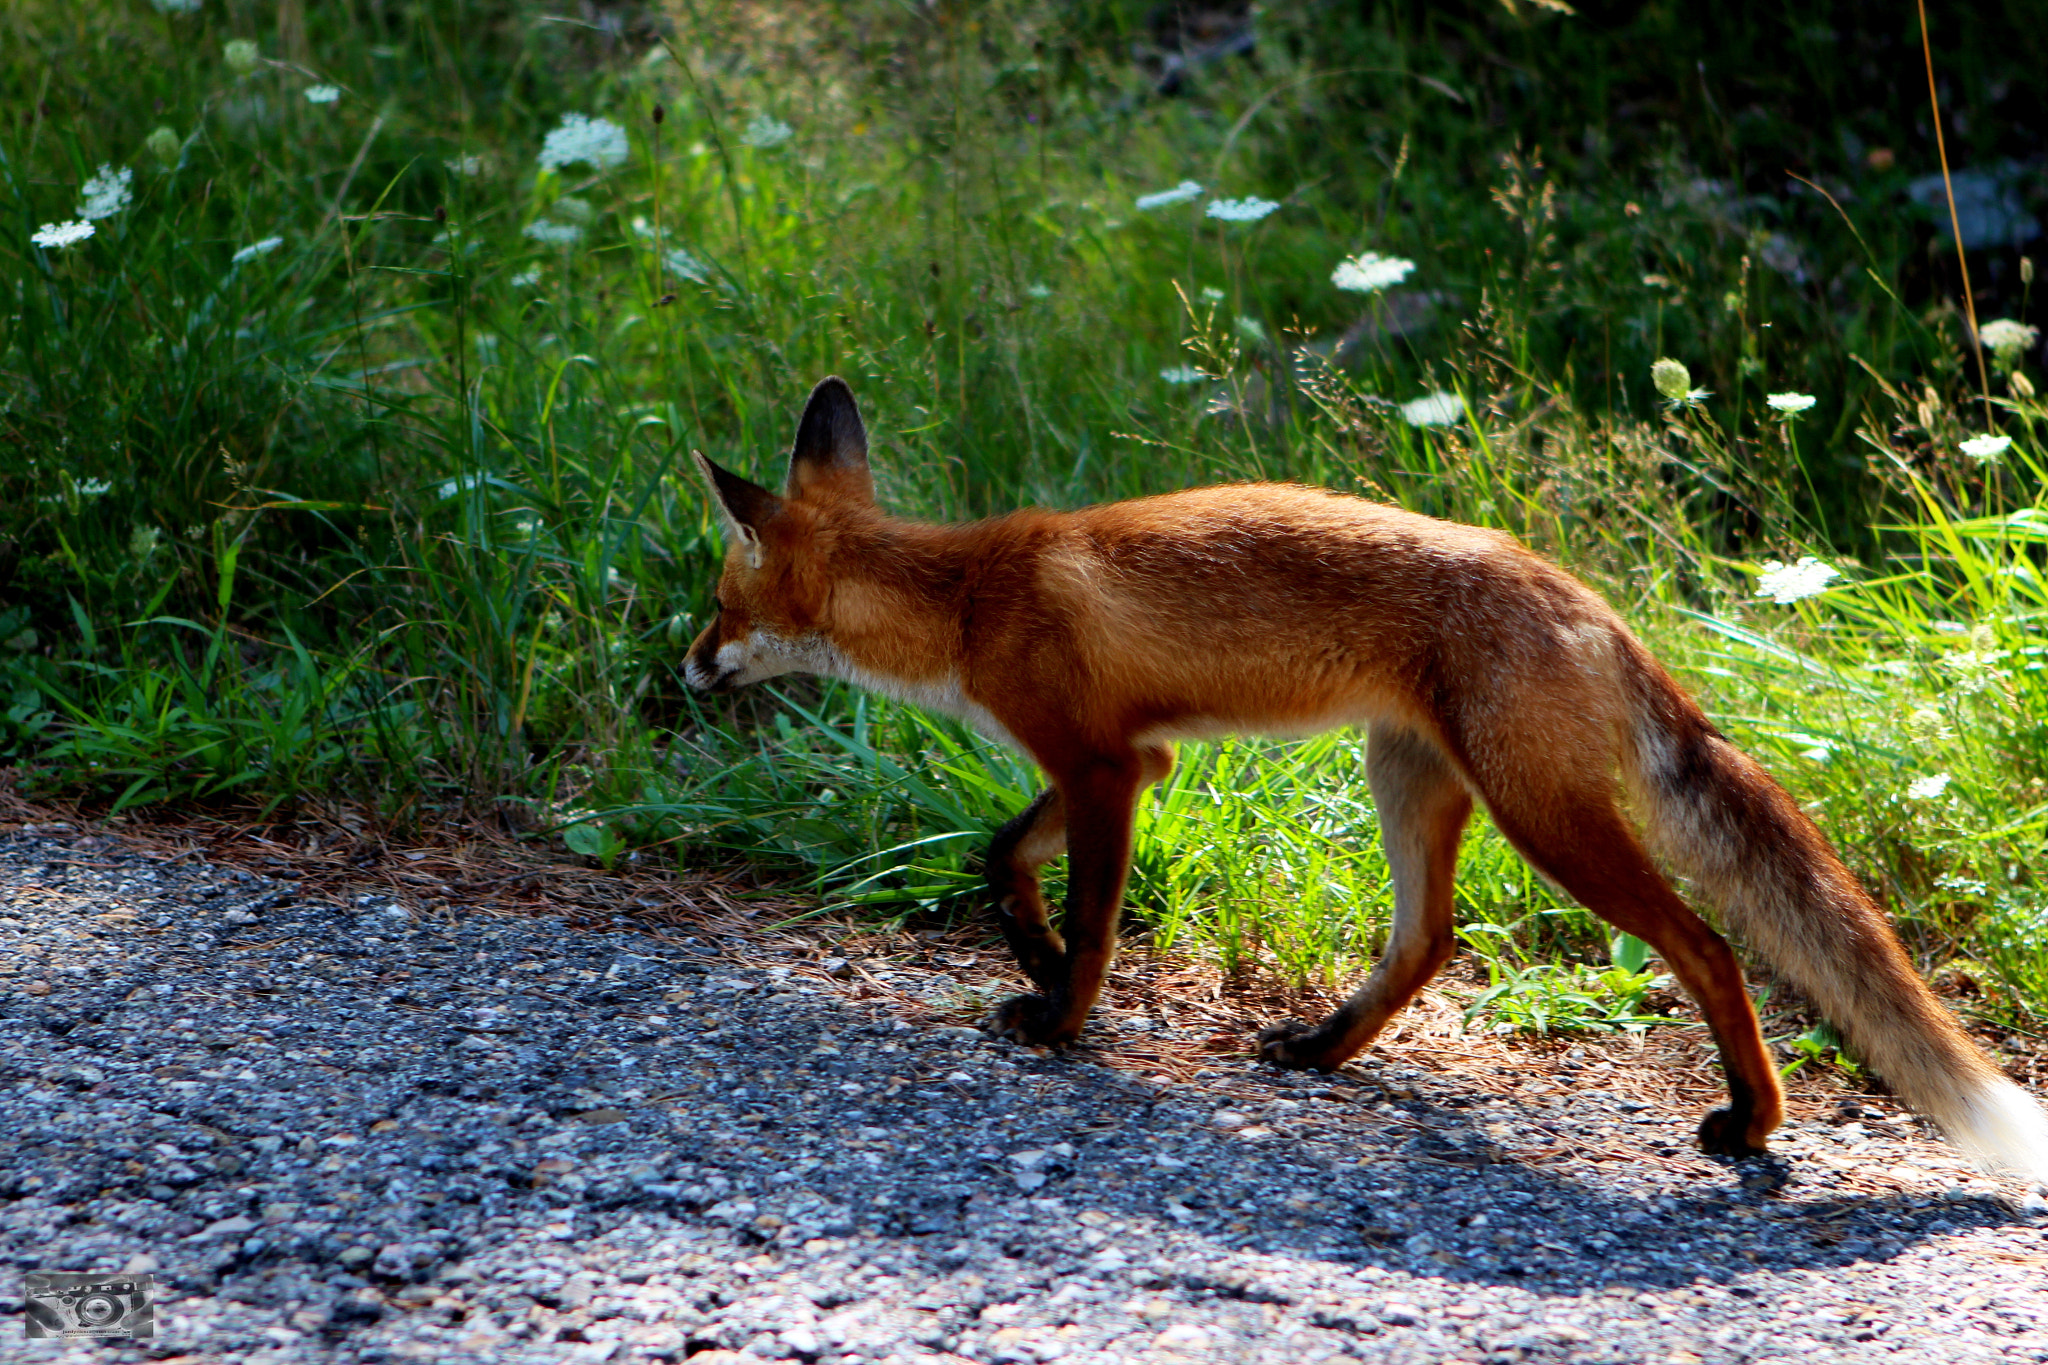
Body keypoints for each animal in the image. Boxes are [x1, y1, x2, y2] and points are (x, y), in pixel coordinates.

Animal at [684, 376, 2048, 1186]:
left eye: (716, 603)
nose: (685, 666)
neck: (966, 600)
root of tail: (1592, 605)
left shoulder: (1105, 763)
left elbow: (1090, 922)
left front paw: (1061, 1020)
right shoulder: (1123, 759)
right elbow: (998, 855)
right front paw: (1022, 951)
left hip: (1543, 819)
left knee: (1708, 948)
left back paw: (1750, 1125)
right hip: (1411, 783)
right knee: (1428, 941)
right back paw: (1325, 1047)